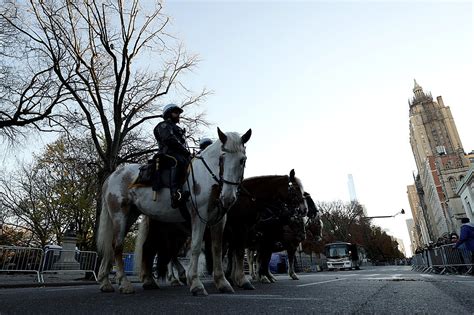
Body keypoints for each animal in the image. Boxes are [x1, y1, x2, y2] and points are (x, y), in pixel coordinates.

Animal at [96, 128, 252, 296]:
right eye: (222, 158)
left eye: (242, 160)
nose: (228, 197)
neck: (208, 179)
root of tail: (112, 176)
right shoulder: (199, 216)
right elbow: (196, 247)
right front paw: (196, 283)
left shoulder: (219, 221)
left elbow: (217, 249)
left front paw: (222, 283)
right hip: (120, 214)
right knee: (118, 245)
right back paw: (125, 284)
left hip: (130, 215)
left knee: (114, 245)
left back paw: (107, 282)